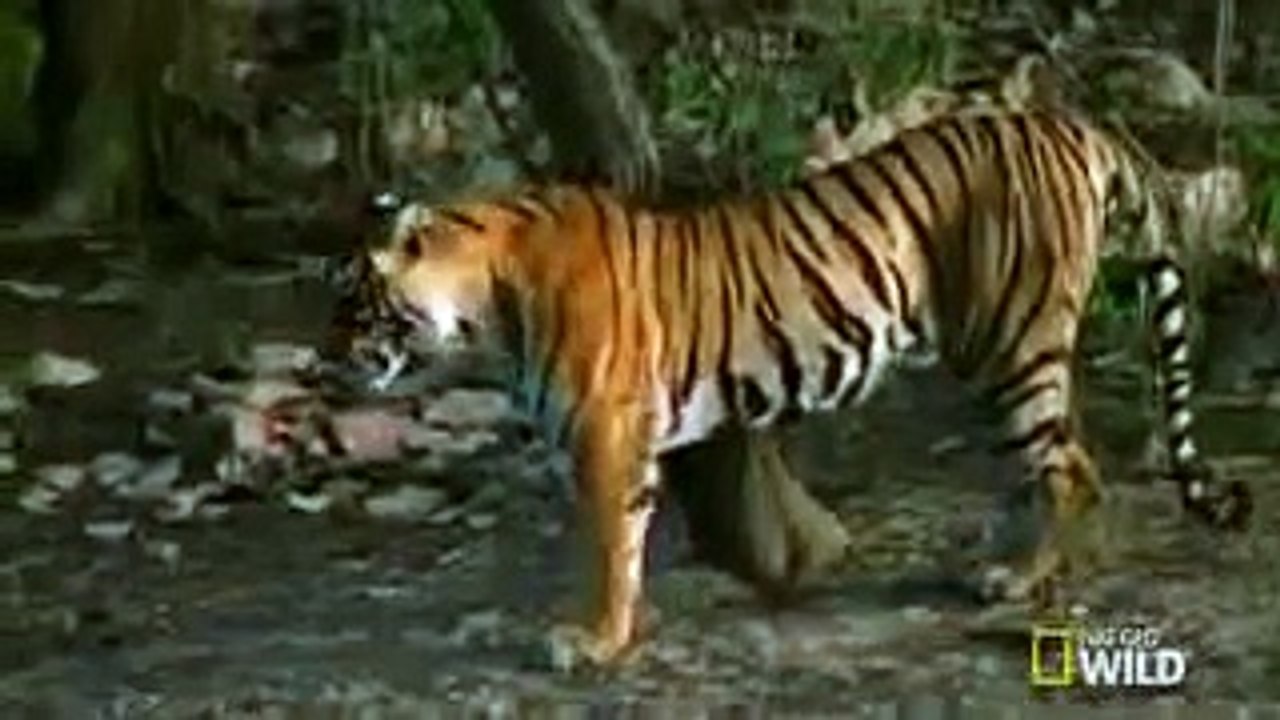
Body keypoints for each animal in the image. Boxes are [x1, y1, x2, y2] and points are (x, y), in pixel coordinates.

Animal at [330, 106, 1252, 669]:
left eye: (355, 301)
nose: (328, 357)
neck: (488, 300)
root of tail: (1068, 121)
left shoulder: (606, 432)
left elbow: (607, 544)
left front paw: (593, 641)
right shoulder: (623, 438)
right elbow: (622, 541)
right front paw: (622, 628)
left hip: (1011, 342)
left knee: (1073, 469)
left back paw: (1035, 584)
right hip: (1014, 352)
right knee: (1059, 454)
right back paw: (1019, 570)